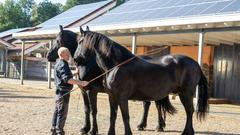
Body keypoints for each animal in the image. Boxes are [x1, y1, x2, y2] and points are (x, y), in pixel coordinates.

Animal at [46, 25, 175, 134]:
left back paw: (159, 126)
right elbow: (87, 109)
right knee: (147, 104)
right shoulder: (84, 90)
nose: (48, 56)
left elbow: (93, 110)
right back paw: (142, 125)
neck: (87, 63)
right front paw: (85, 128)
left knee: (157, 106)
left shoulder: (92, 91)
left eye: (57, 40)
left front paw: (93, 130)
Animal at [74, 27, 209, 135]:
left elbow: (125, 116)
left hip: (186, 93)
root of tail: (196, 64)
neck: (117, 65)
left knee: (189, 111)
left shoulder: (121, 97)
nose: (76, 59)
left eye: (80, 42)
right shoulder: (111, 96)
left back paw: (186, 132)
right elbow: (113, 115)